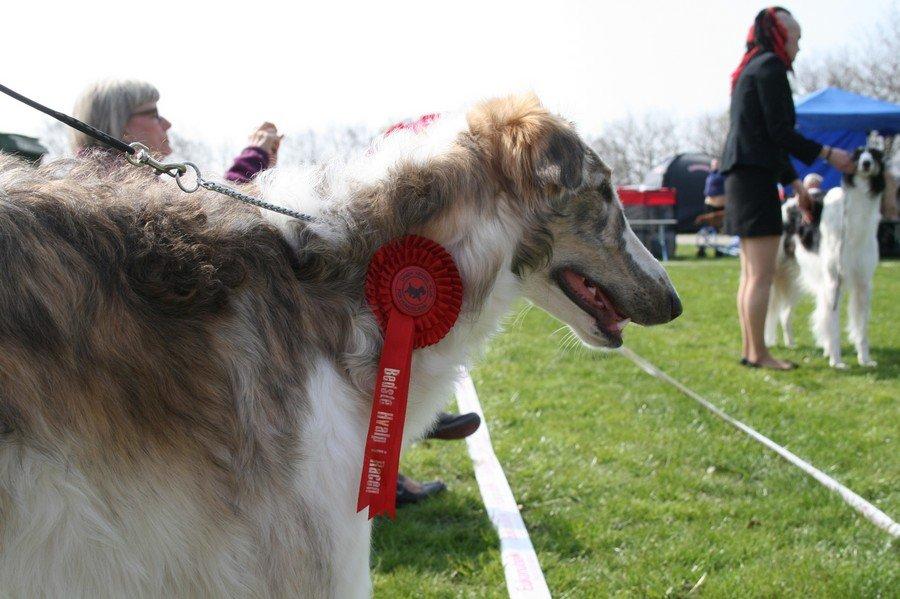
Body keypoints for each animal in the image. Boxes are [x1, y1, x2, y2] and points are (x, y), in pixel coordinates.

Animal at [768, 138, 884, 368]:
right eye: (857, 155)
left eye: (874, 155)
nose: (866, 164)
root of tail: (787, 202)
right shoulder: (833, 281)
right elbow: (833, 326)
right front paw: (836, 360)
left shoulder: (862, 283)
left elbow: (861, 329)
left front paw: (865, 360)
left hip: (794, 279)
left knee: (784, 315)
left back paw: (790, 343)